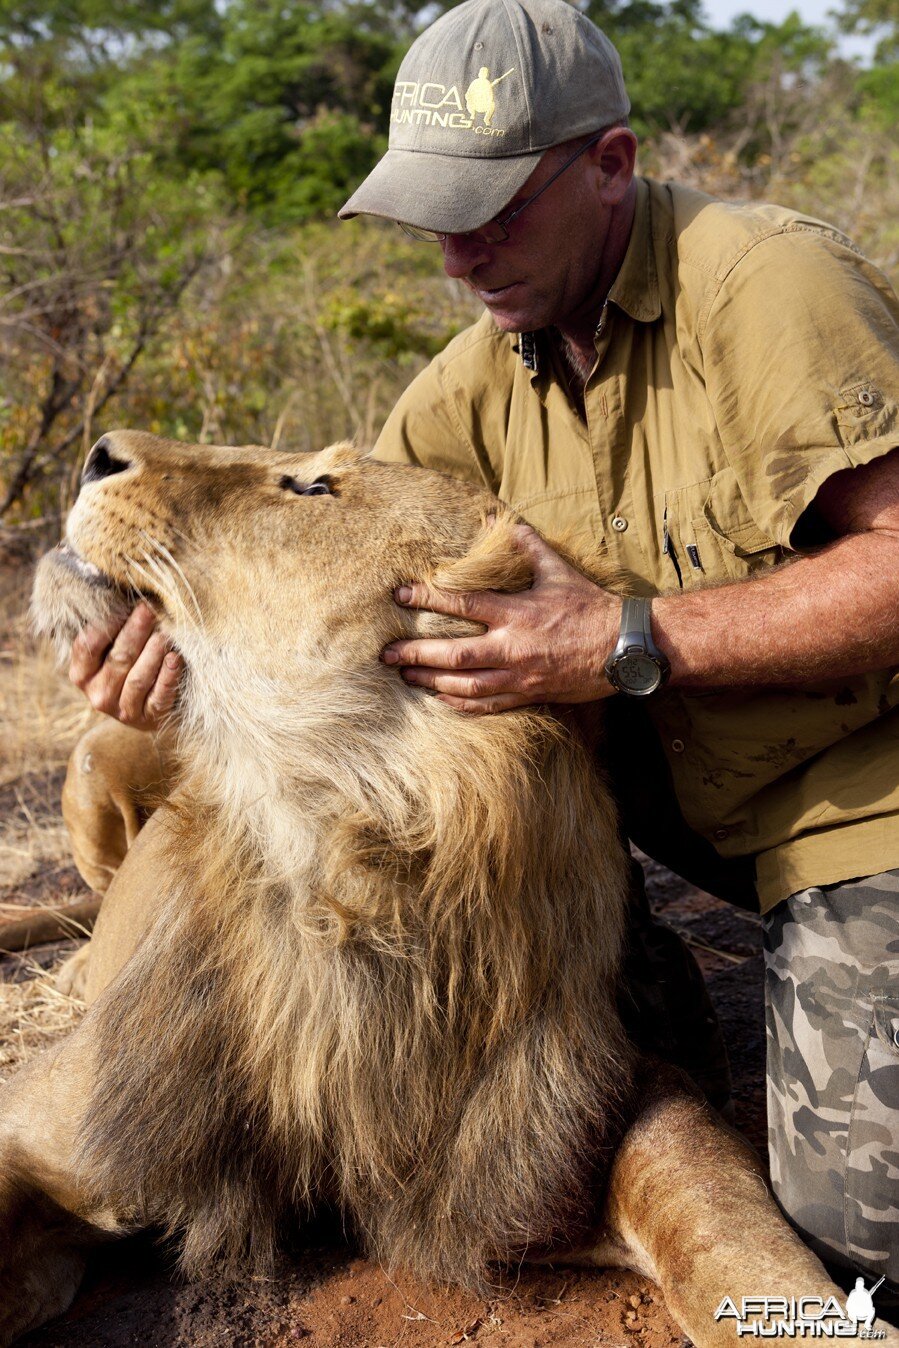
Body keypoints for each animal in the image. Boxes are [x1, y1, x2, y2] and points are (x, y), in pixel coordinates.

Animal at [0, 434, 873, 1348]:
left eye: (312, 486)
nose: (101, 451)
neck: (345, 878)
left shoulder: (566, 1121)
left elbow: (725, 1228)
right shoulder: (45, 1118)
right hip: (96, 758)